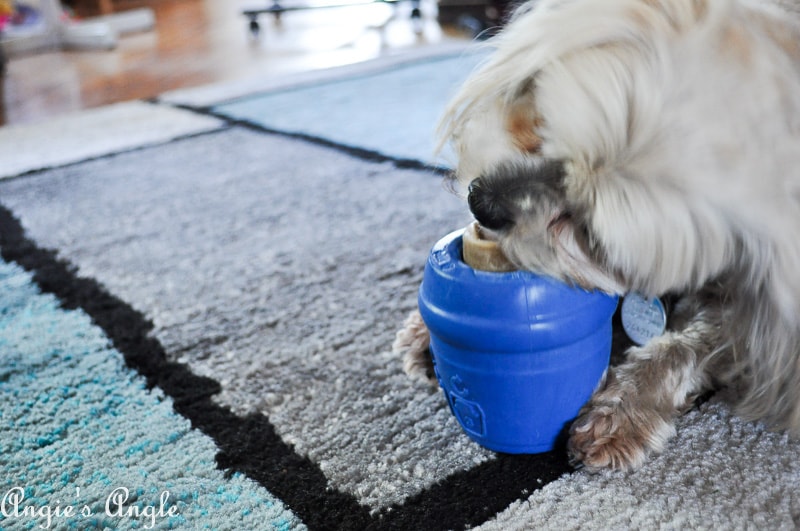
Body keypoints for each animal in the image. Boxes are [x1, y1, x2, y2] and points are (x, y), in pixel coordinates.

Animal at [396, 0, 800, 472]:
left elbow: (692, 343)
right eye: (542, 129)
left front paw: (625, 407)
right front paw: (424, 333)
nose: (482, 202)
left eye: (586, 230)